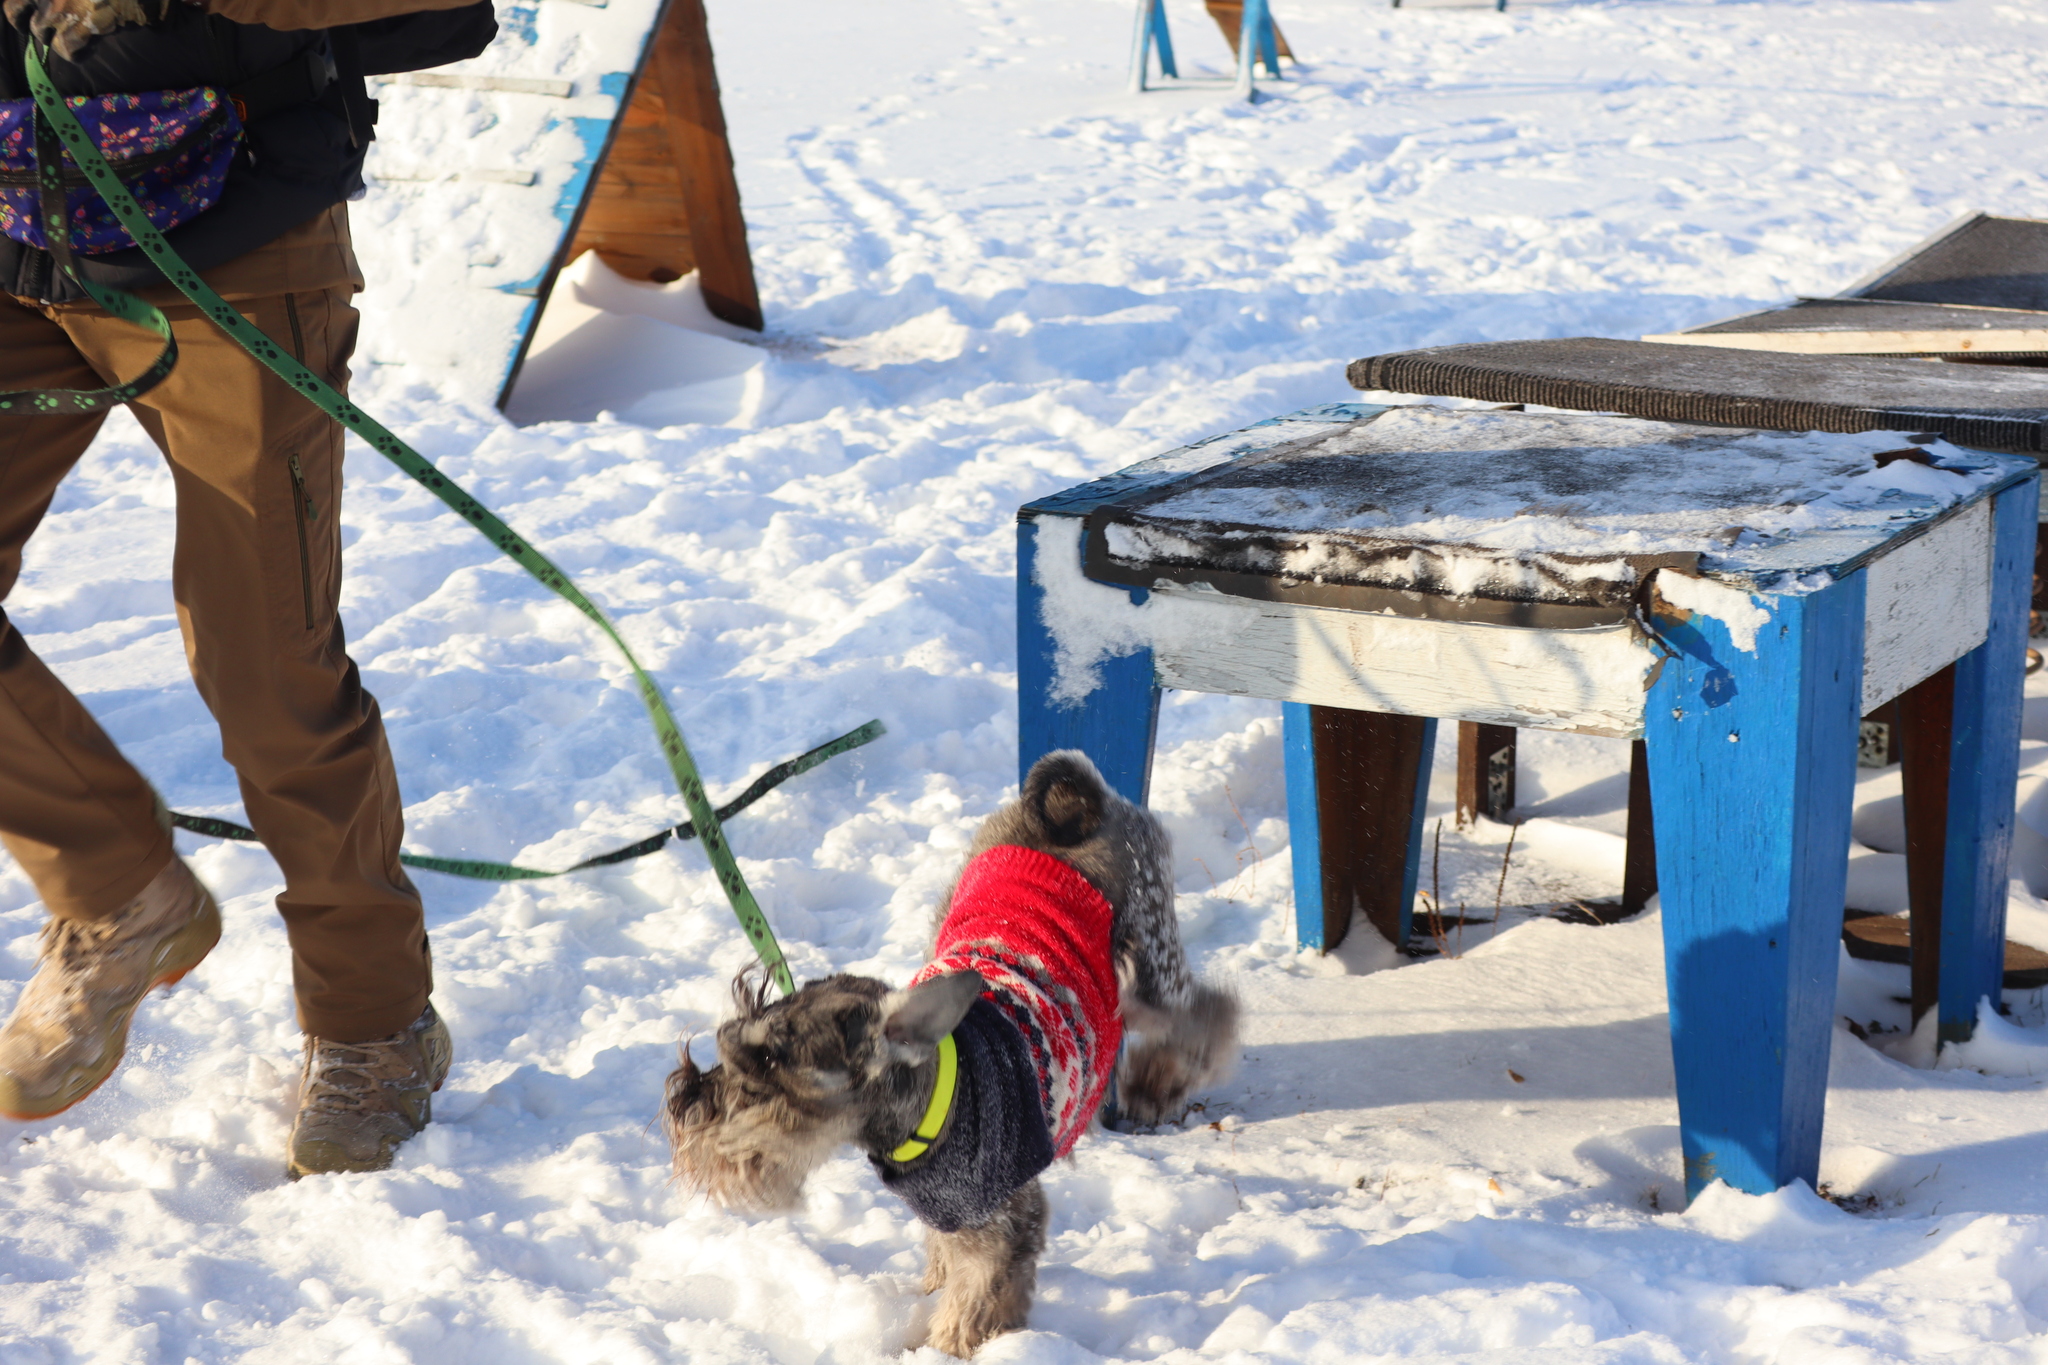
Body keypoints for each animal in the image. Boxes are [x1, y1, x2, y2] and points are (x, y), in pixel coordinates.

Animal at [663, 753, 1236, 1358]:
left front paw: (949, 1348)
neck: (937, 1104)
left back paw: (1156, 1086)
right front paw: (934, 1292)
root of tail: (1077, 810)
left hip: (1152, 950)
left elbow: (969, 1310)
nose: (683, 1101)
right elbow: (951, 1262)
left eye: (768, 1068)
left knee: (1204, 1014)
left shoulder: (1004, 1229)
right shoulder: (954, 1214)